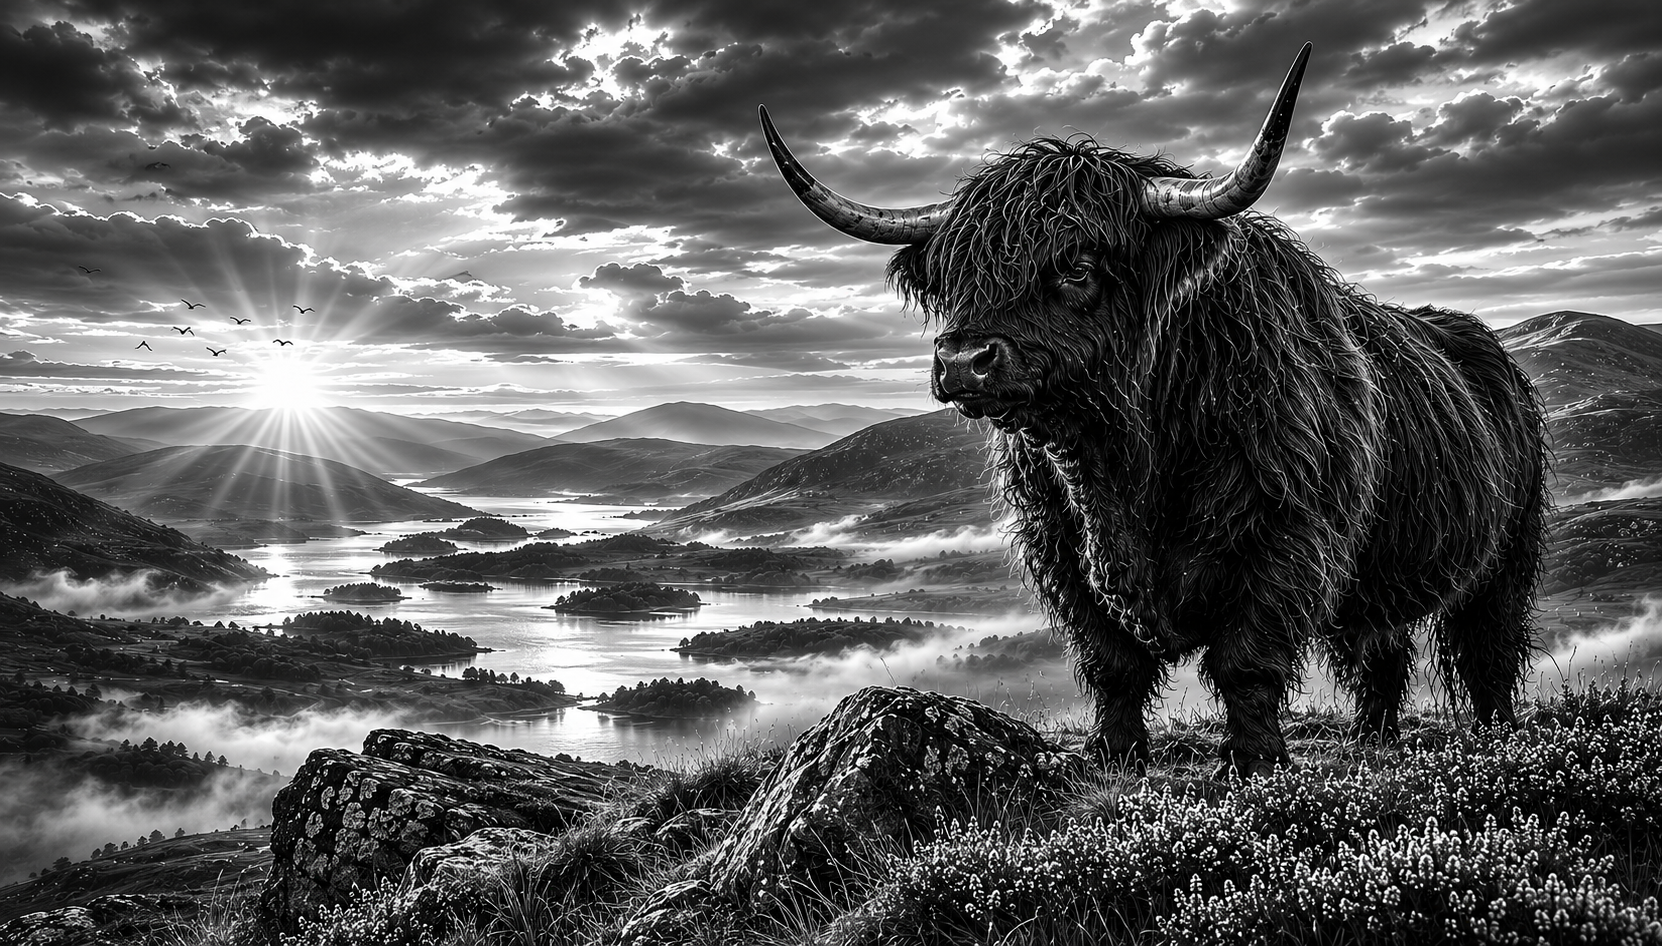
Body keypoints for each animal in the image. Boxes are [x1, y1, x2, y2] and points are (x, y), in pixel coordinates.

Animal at [758, 43, 1551, 777]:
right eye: (956, 275)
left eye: (1077, 266)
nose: (962, 361)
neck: (1127, 455)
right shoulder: (1062, 551)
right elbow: (1113, 661)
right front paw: (1115, 754)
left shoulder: (1289, 538)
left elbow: (1245, 661)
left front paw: (1254, 762)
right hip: (1381, 576)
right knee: (1379, 650)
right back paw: (1374, 738)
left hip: (1504, 555)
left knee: (1487, 648)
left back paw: (1493, 735)